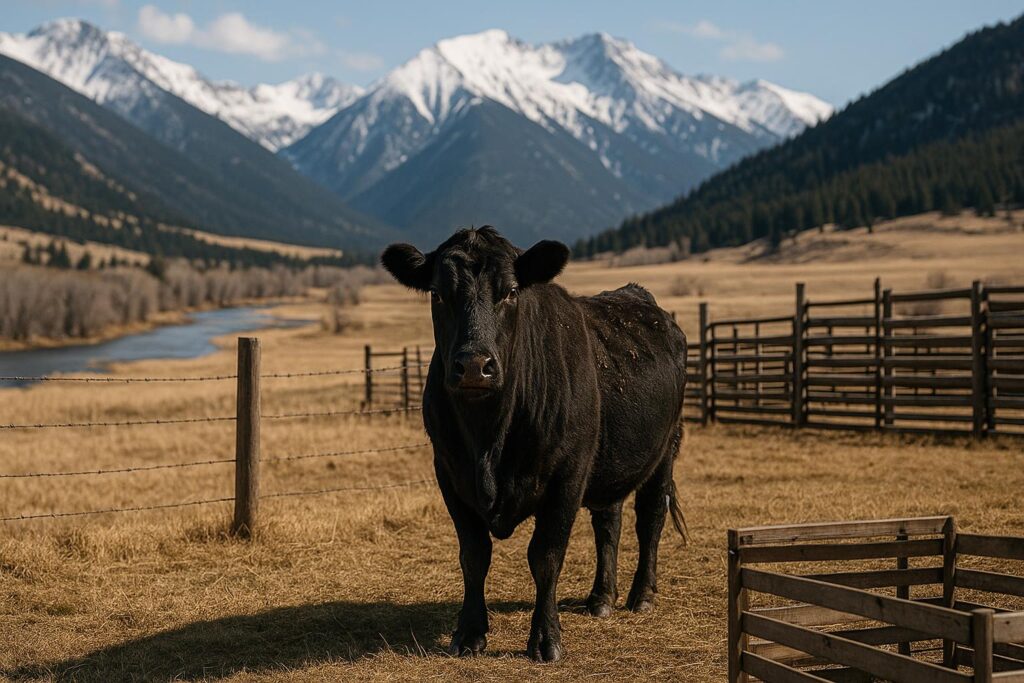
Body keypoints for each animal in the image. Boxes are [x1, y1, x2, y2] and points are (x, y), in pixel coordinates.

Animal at [381, 226, 687, 662]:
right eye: (438, 293)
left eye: (510, 291)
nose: (474, 366)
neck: (489, 440)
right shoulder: (449, 473)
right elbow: (473, 555)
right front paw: (469, 632)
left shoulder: (568, 476)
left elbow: (545, 556)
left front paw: (545, 638)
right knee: (608, 522)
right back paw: (601, 598)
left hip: (665, 451)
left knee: (650, 519)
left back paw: (641, 594)